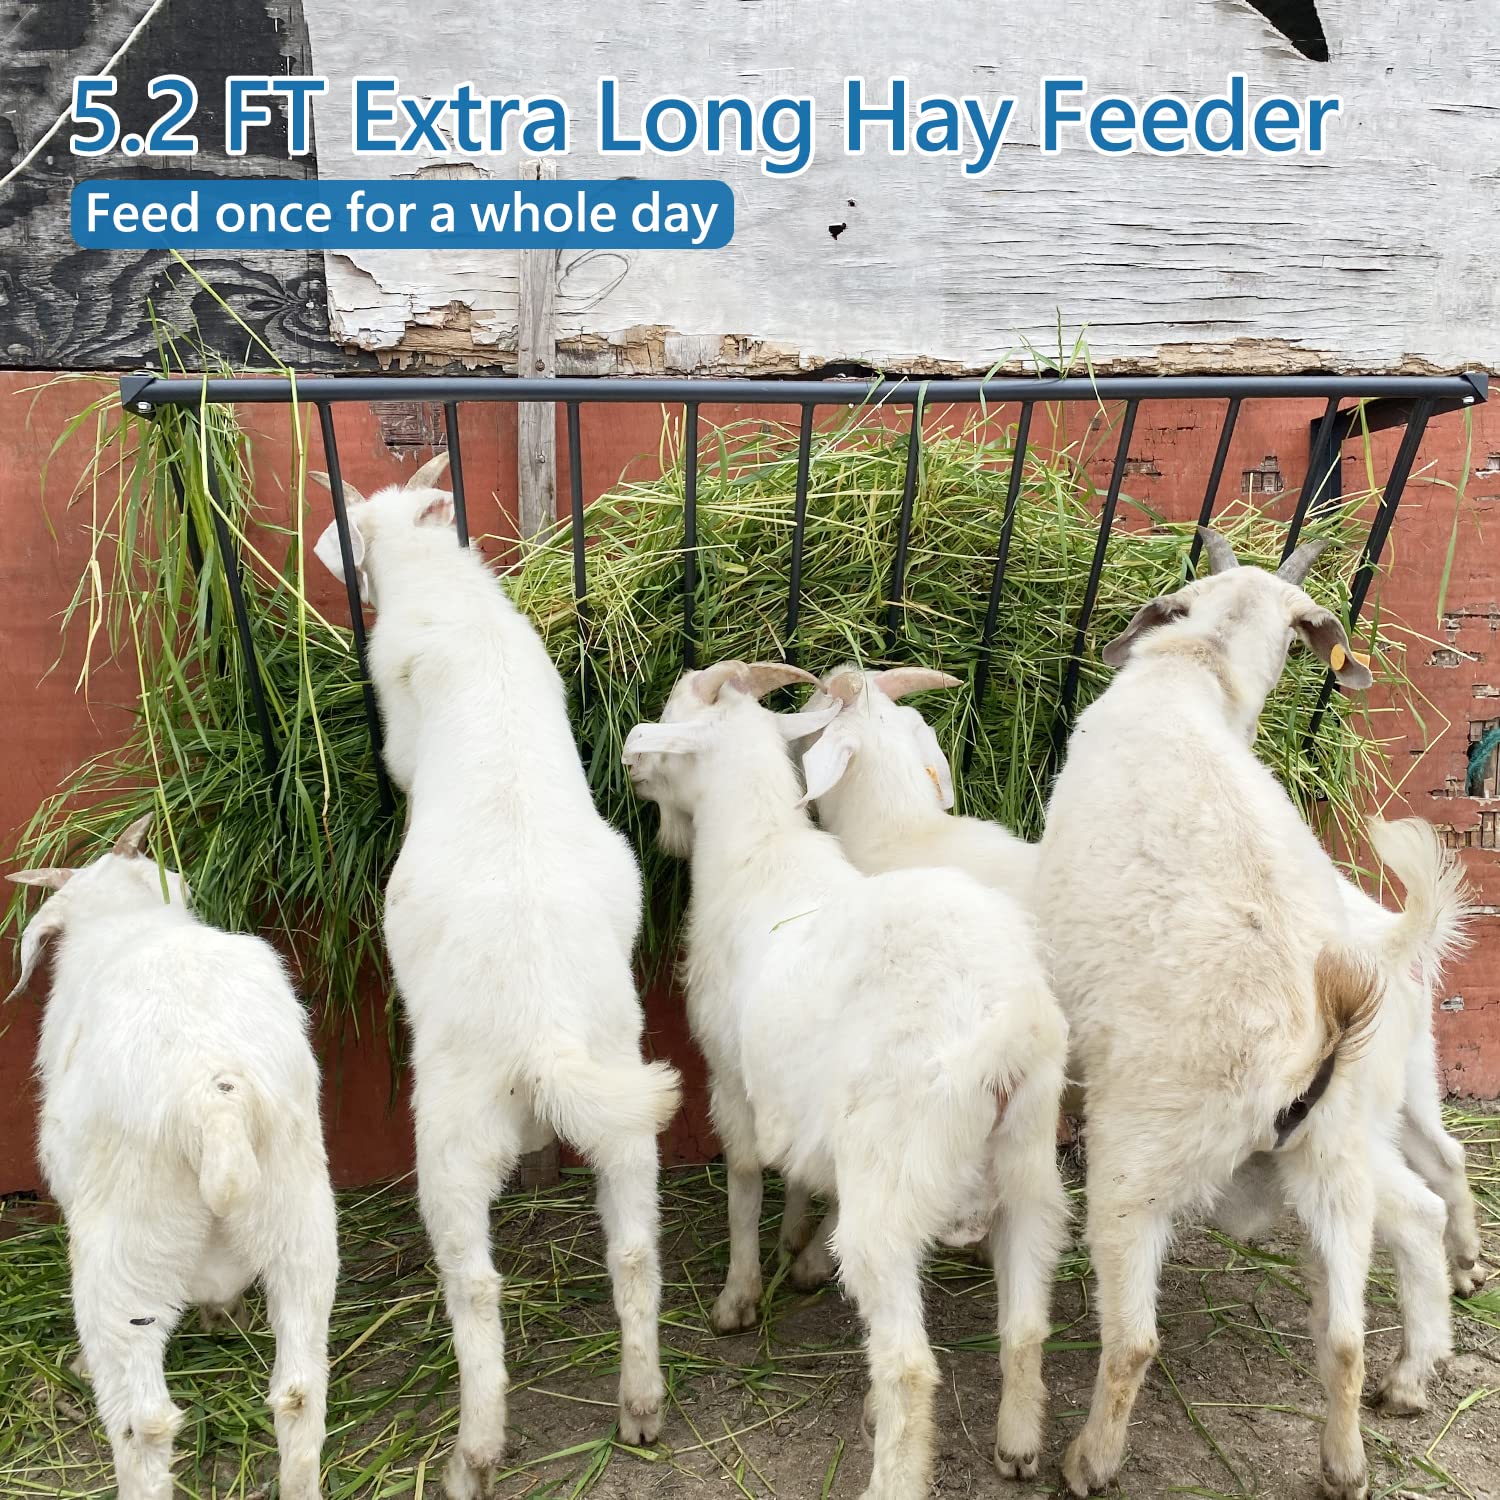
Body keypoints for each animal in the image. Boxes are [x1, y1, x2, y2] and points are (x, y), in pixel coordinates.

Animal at [8, 814, 337, 1500]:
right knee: (298, 1393)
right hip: (299, 1220)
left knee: (145, 1421)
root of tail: (212, 1100)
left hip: (126, 1256)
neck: (130, 925)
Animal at [310, 454, 680, 1499]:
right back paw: (641, 1405)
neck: (449, 593)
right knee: (633, 1252)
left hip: (453, 1133)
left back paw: (474, 1451)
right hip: (627, 1104)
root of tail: (544, 1037)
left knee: (475, 1285)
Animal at [622, 659, 1070, 1499]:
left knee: (909, 1366)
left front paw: (739, 1296)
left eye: (674, 713)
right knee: (1027, 1324)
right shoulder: (801, 1098)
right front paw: (798, 1246)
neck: (759, 853)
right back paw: (1019, 1445)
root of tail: (1005, 1033)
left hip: (893, 1188)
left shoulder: (732, 1078)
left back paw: (891, 1473)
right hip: (1030, 1172)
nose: (631, 768)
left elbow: (742, 1182)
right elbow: (801, 1176)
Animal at [1034, 527, 1462, 1500]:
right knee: (1345, 1333)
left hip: (1143, 1155)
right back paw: (1353, 1453)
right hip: (1339, 1162)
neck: (1194, 672)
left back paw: (1089, 1461)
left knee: (1134, 1341)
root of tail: (1312, 1046)